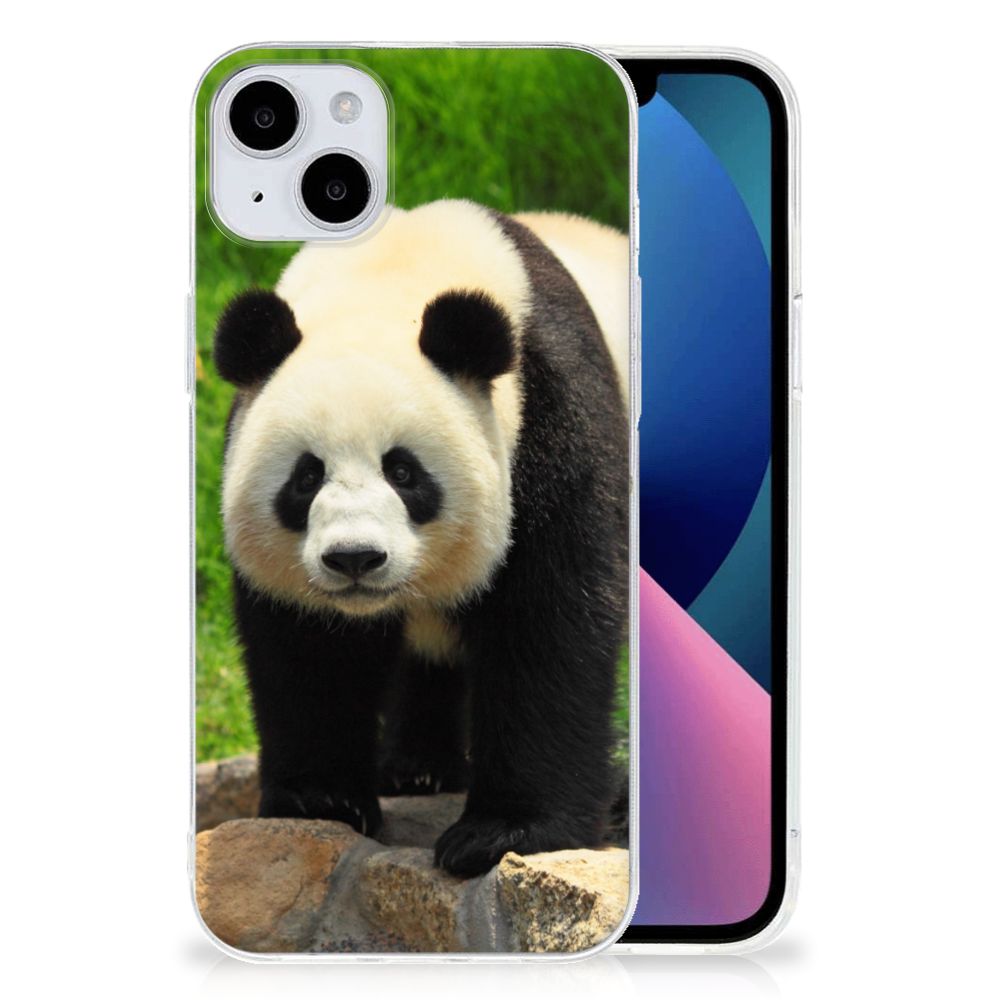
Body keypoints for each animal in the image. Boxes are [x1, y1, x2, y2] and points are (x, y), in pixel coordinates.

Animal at [213, 199, 630, 877]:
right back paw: (417, 768)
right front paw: (320, 799)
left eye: (404, 472)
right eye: (306, 476)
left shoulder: (553, 419)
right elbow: (310, 648)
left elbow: (550, 622)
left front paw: (503, 832)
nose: (355, 558)